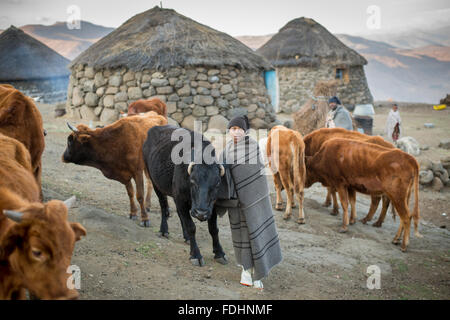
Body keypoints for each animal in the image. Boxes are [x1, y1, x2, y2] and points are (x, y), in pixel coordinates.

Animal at [143, 124, 229, 264]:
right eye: (193, 181)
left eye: (217, 183)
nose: (201, 213)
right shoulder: (181, 199)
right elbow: (191, 227)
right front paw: (196, 255)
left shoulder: (213, 205)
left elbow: (213, 229)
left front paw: (219, 252)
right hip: (155, 183)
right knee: (163, 206)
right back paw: (164, 230)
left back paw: (186, 237)